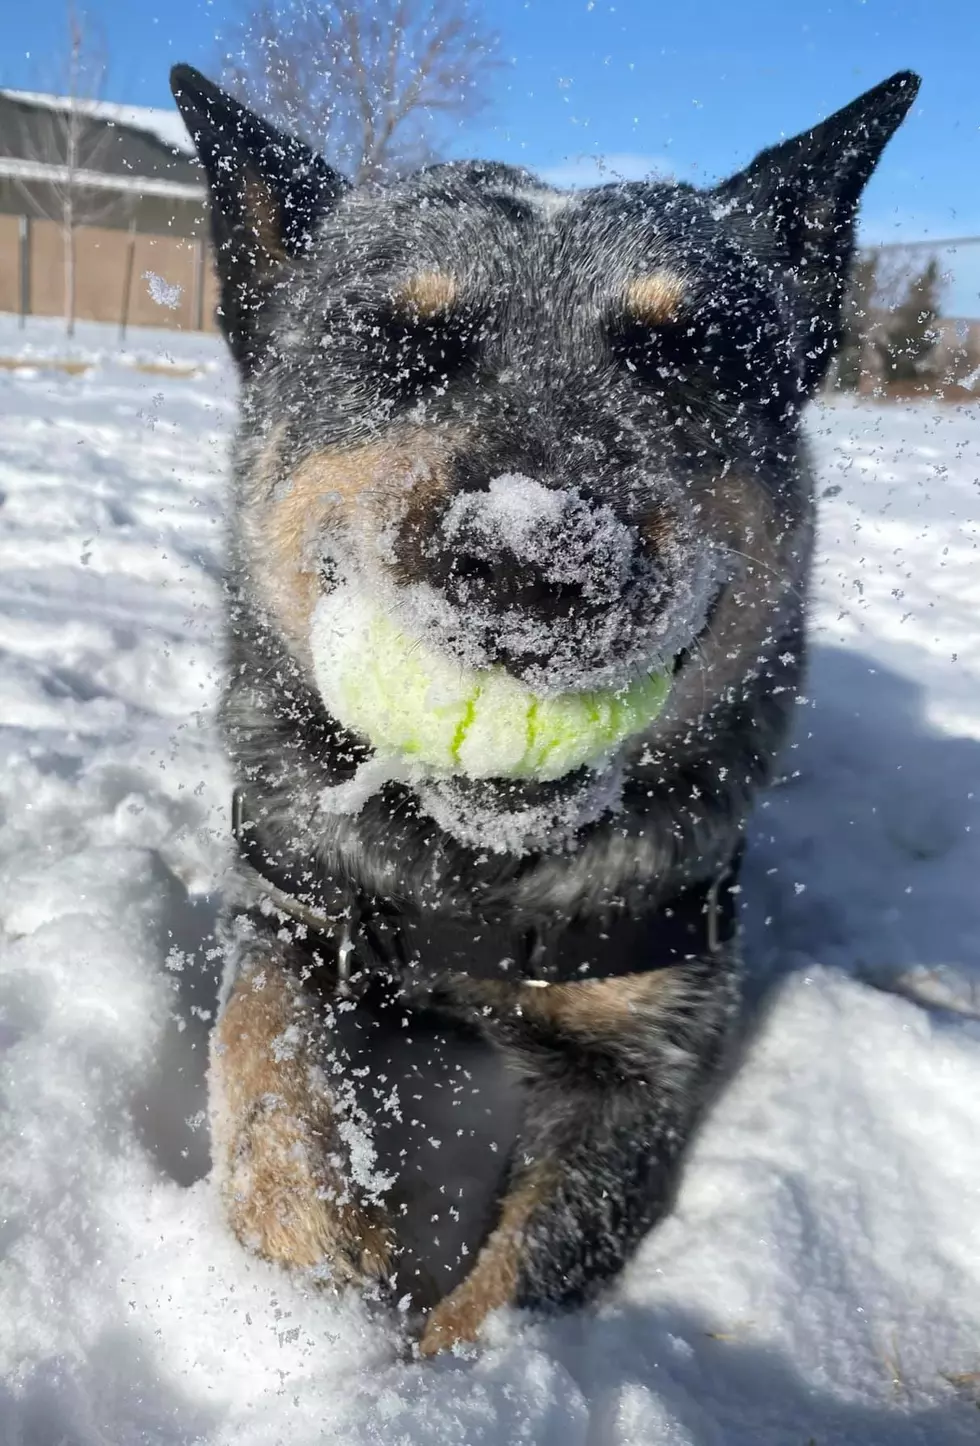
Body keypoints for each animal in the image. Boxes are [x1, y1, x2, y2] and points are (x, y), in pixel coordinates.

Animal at [170, 67, 919, 1353]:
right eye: (399, 345)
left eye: (686, 356)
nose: (531, 560)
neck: (479, 882)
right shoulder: (292, 917)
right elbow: (261, 1078)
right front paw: (320, 1290)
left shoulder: (642, 1056)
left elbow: (524, 1278)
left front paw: (452, 1371)